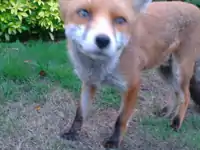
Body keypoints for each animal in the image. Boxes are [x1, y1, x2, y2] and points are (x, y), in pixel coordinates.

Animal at [58, 0, 200, 148]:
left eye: (120, 20)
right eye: (83, 12)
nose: (103, 40)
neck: (99, 67)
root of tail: (195, 7)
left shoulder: (132, 85)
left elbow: (120, 120)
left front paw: (114, 142)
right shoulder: (89, 82)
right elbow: (80, 114)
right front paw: (72, 133)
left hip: (180, 71)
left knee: (186, 96)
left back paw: (176, 122)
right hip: (164, 70)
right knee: (176, 92)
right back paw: (166, 112)